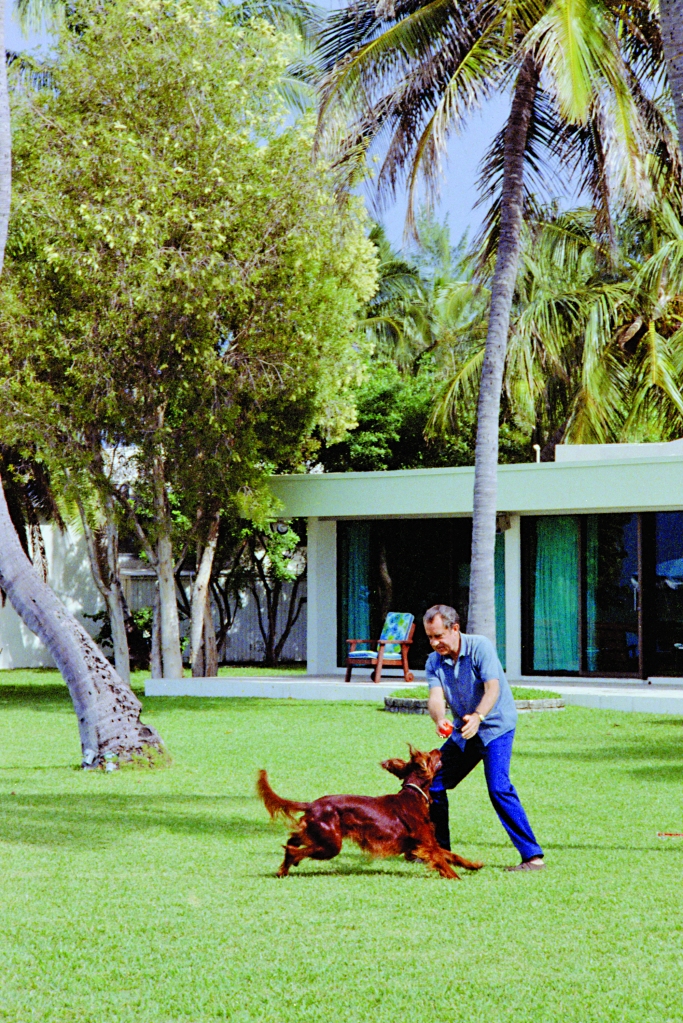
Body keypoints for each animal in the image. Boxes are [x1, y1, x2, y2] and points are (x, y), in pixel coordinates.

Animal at [257, 744, 484, 879]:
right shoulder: (426, 844)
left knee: (293, 840)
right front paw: (456, 878)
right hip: (331, 844)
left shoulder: (420, 844)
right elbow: (443, 861)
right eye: (429, 756)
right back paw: (290, 862)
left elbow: (453, 855)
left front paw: (474, 865)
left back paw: (283, 869)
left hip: (318, 834)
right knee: (293, 850)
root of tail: (312, 804)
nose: (439, 748)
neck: (413, 795)